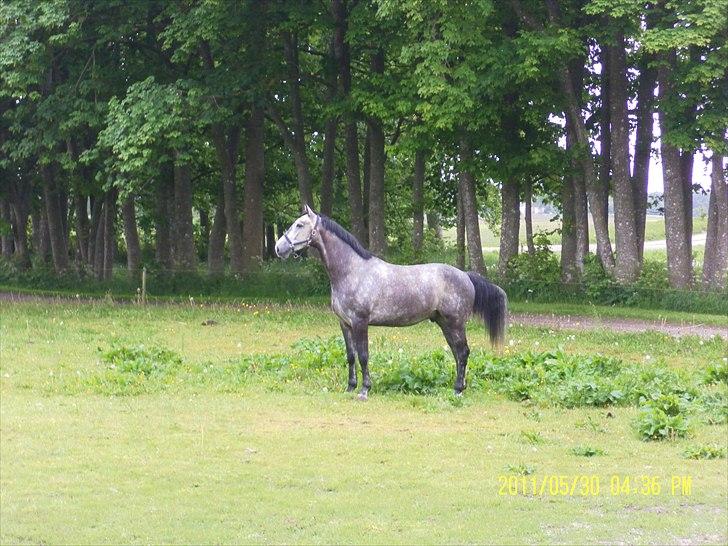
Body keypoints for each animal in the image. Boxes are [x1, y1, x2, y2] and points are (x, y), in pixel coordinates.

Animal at [276, 206, 510, 398]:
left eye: (299, 224)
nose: (279, 248)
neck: (351, 271)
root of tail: (466, 276)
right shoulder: (345, 324)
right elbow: (351, 356)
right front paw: (350, 387)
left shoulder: (360, 322)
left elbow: (363, 356)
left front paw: (364, 390)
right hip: (445, 323)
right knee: (457, 353)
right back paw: (460, 387)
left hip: (455, 323)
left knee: (463, 353)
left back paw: (458, 390)